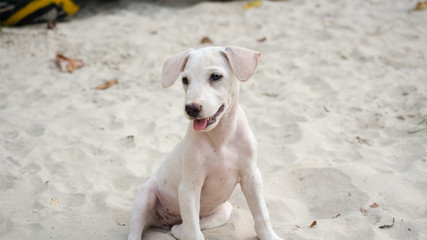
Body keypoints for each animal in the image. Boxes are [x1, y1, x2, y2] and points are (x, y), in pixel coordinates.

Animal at [129, 45, 286, 240]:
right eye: (185, 80)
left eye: (215, 76)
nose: (191, 108)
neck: (221, 139)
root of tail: (167, 221)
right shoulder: (189, 187)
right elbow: (194, 231)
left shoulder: (251, 176)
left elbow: (261, 214)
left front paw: (269, 236)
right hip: (146, 194)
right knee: (139, 230)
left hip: (224, 210)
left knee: (185, 227)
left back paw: (178, 229)